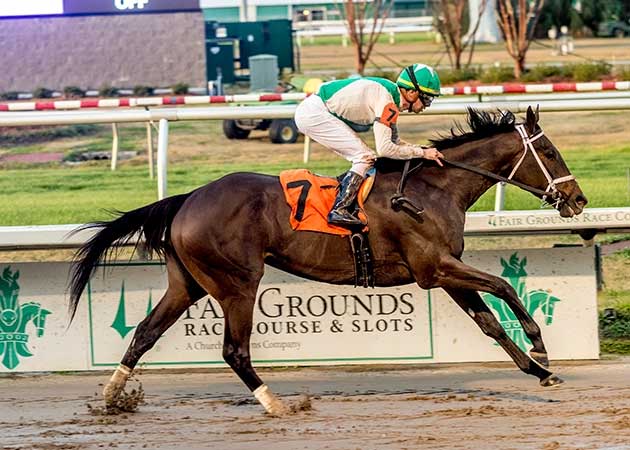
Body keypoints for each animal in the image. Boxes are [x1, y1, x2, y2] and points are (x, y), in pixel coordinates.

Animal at [71, 106, 592, 414]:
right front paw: (540, 346)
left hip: (189, 283)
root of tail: (187, 199)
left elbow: (490, 325)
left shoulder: (445, 273)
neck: (433, 189)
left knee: (145, 332)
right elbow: (504, 287)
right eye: (549, 151)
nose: (578, 200)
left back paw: (112, 396)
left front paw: (541, 372)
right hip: (238, 282)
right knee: (234, 350)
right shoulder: (434, 270)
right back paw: (275, 403)